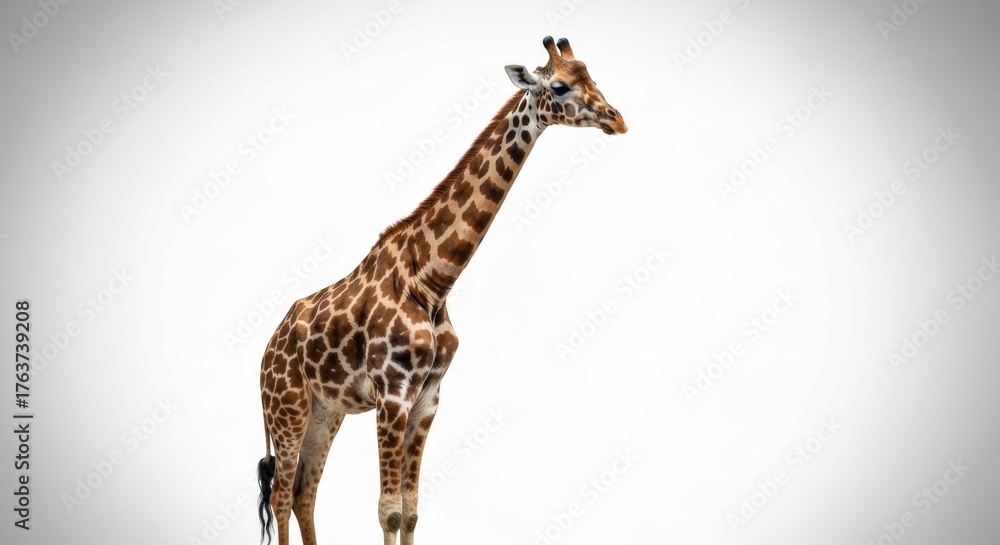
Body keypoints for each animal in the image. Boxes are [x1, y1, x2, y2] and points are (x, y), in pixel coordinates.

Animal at [257, 36, 627, 545]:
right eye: (559, 86)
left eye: (592, 77)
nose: (617, 118)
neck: (431, 282)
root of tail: (267, 349)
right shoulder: (392, 393)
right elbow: (389, 511)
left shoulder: (428, 398)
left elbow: (411, 510)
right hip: (286, 407)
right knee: (280, 494)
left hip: (324, 412)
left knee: (303, 495)